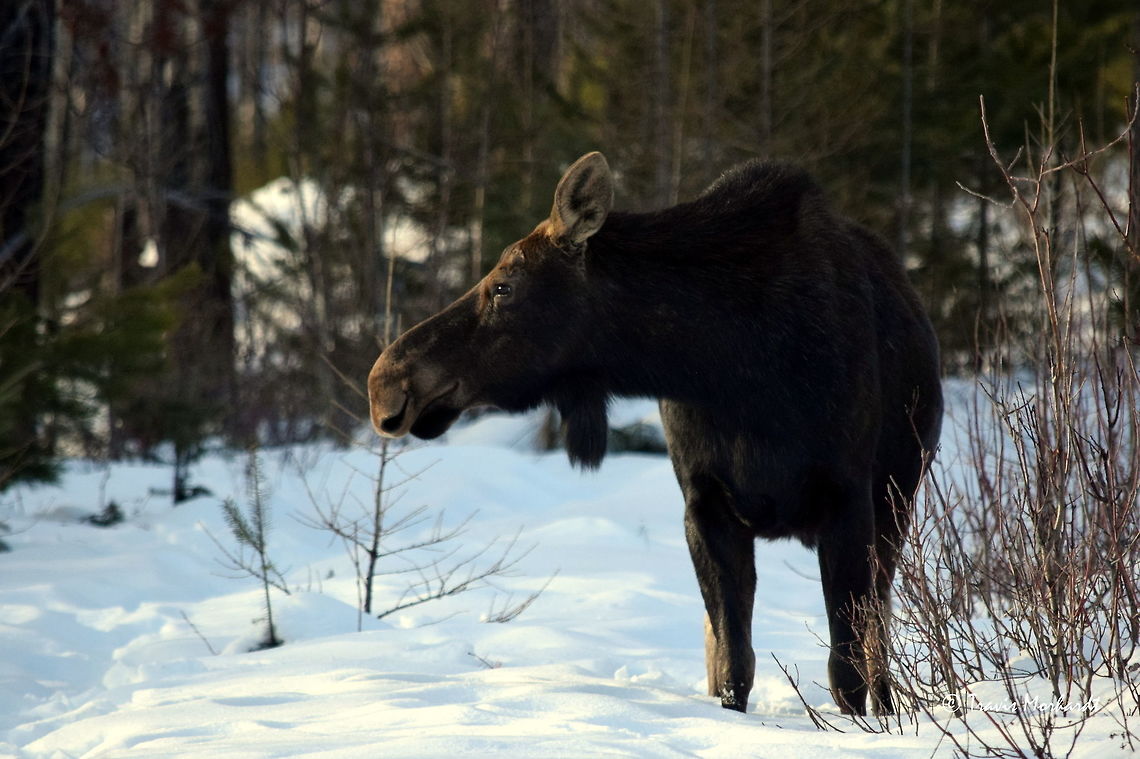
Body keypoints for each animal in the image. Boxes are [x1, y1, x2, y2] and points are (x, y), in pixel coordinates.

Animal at [367, 152, 943, 716]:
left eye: (504, 286)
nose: (386, 382)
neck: (735, 368)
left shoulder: (848, 500)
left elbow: (846, 671)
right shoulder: (704, 507)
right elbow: (734, 667)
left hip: (896, 505)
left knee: (879, 632)